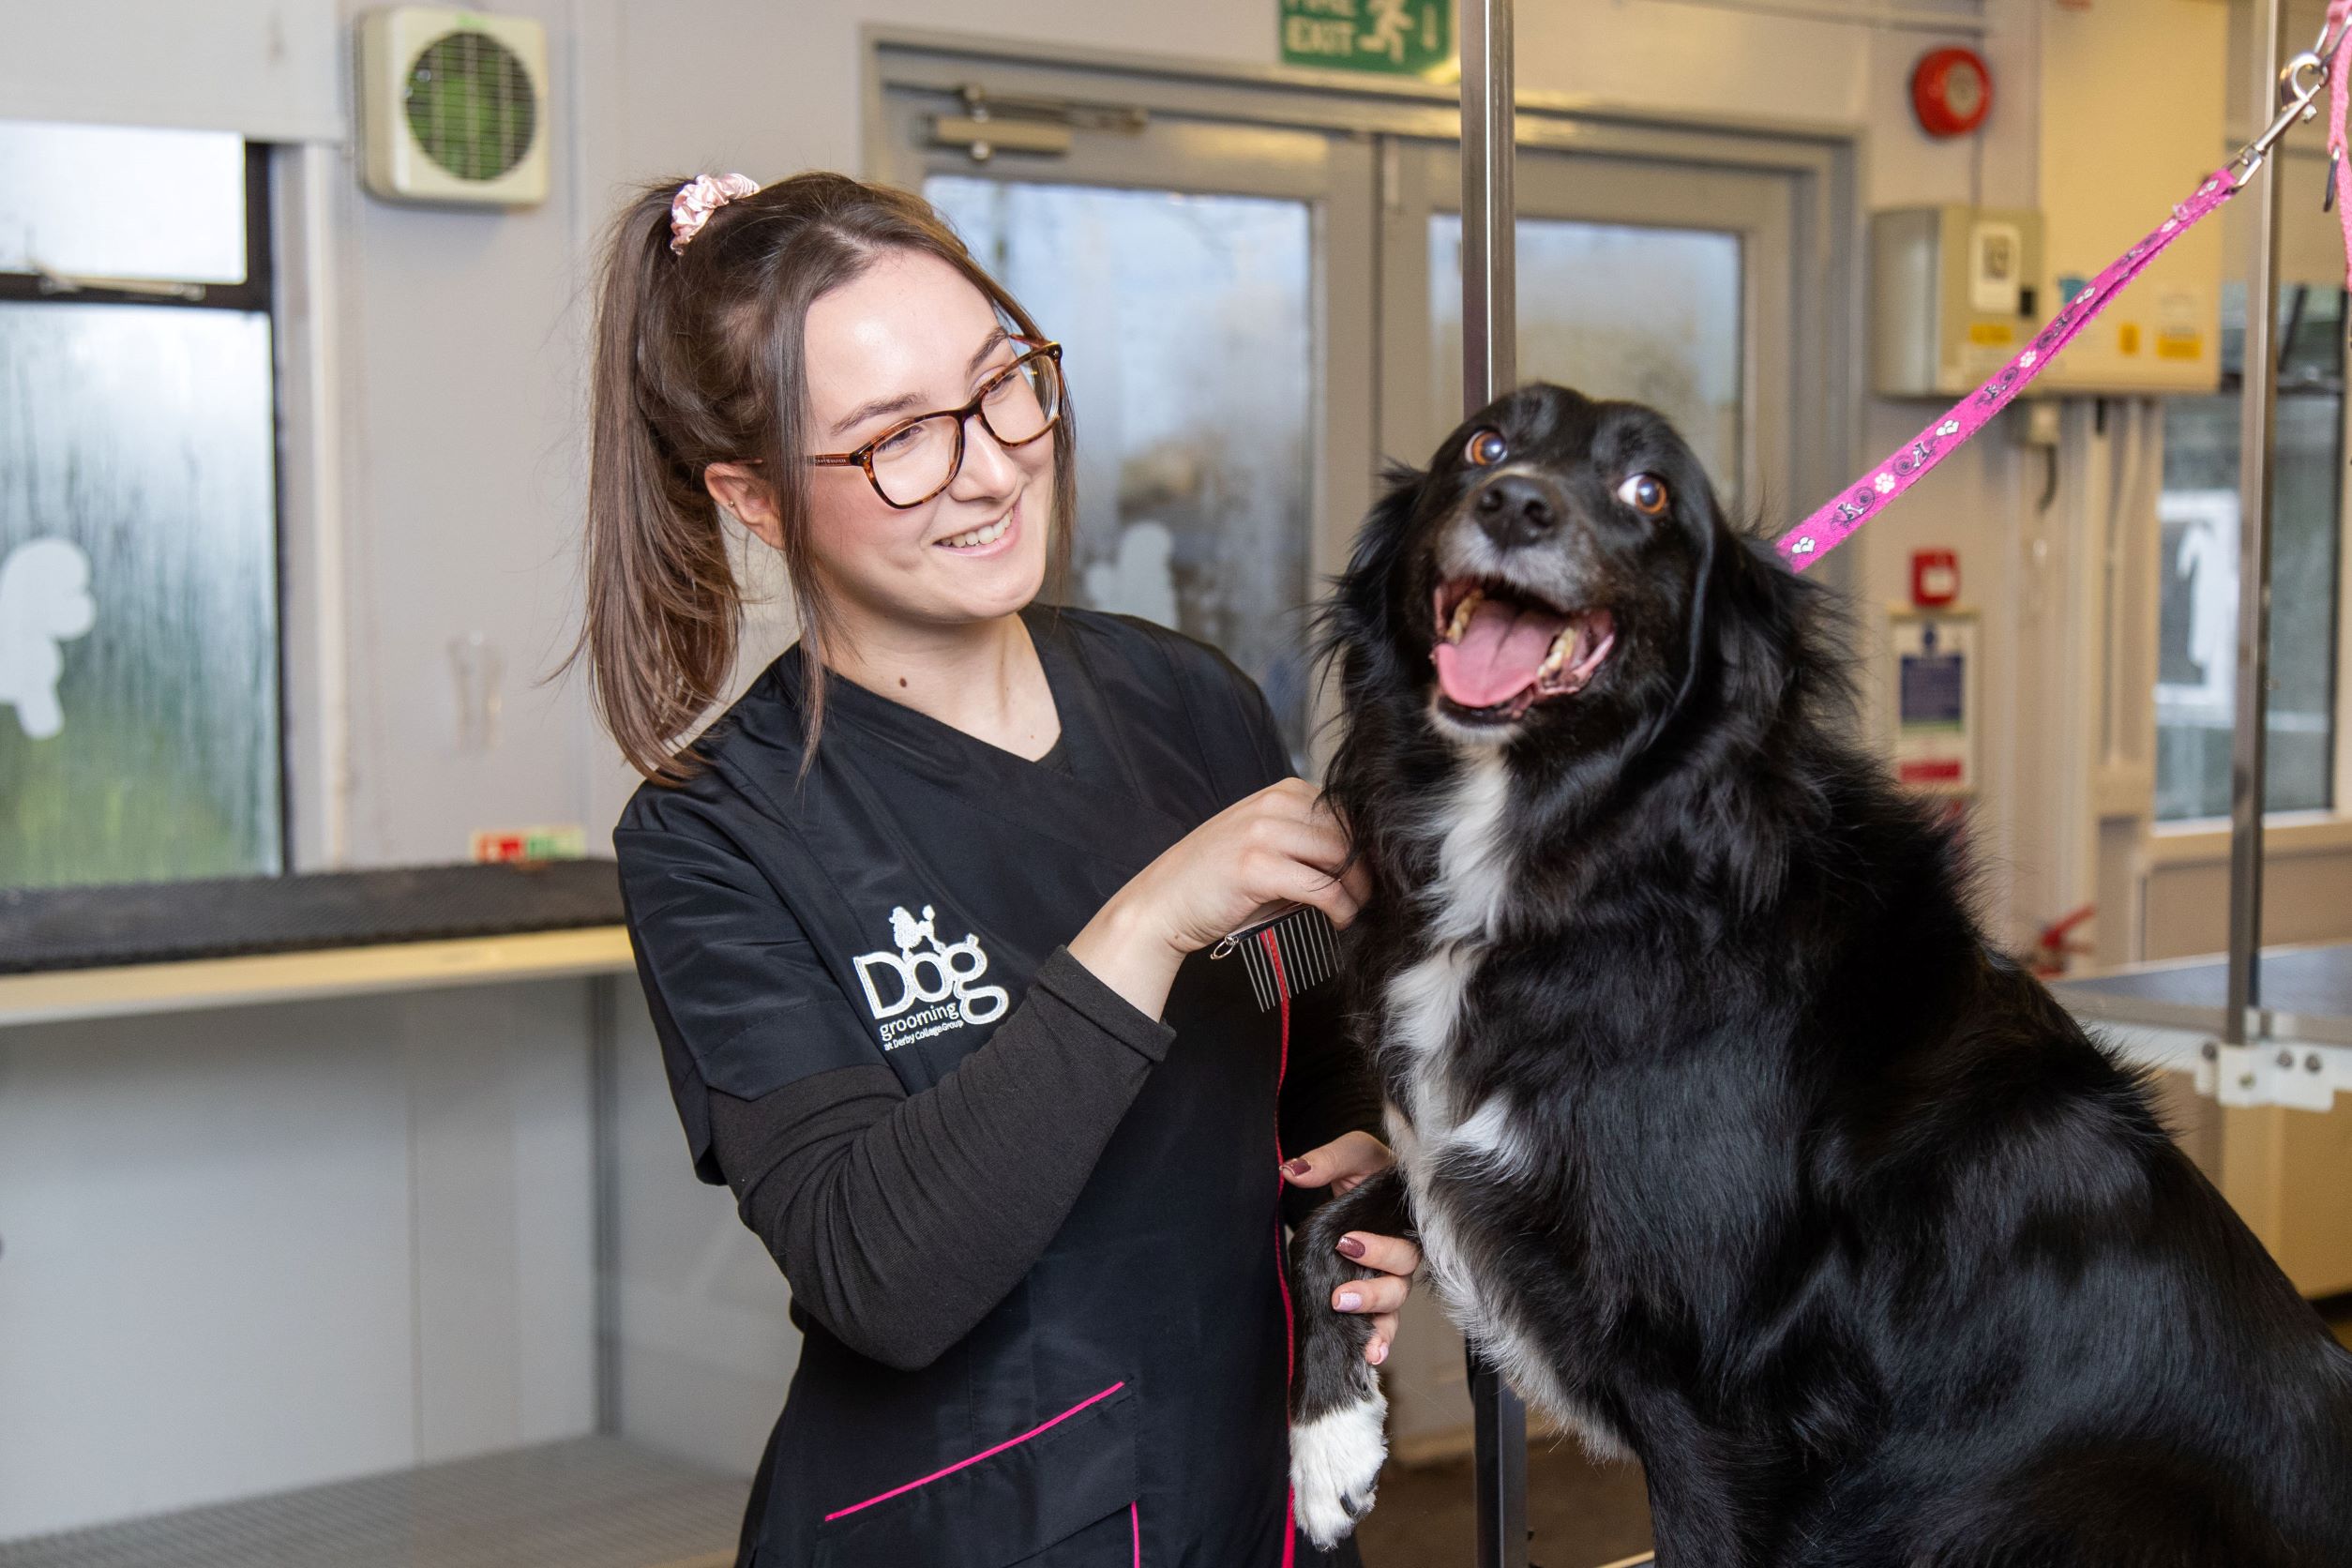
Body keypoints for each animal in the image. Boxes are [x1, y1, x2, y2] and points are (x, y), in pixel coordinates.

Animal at [1289, 385, 2352, 1560]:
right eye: (1486, 443)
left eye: (1646, 491)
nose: (1515, 504)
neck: (1590, 862)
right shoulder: (1466, 1158)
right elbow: (1321, 1222)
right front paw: (1328, 1448)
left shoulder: (1721, 1403)